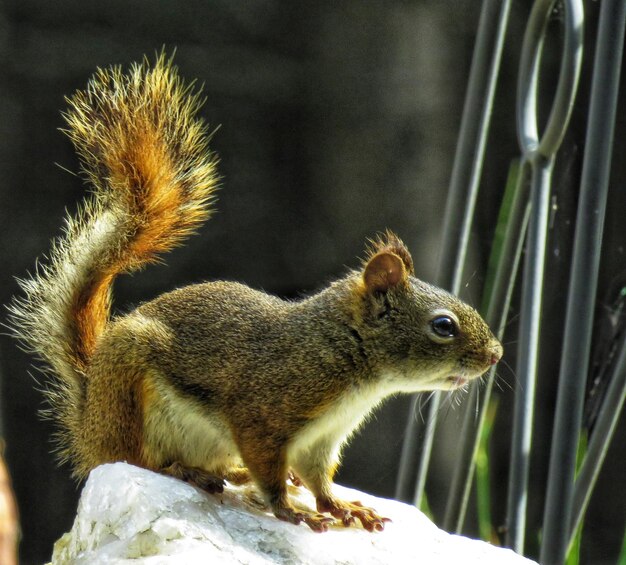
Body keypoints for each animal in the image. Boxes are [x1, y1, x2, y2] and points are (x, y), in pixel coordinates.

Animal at [7, 54, 500, 532]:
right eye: (443, 325)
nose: (495, 355)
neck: (341, 356)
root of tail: (89, 422)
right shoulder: (263, 413)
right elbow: (269, 468)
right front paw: (293, 511)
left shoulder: (322, 439)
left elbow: (319, 478)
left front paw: (341, 507)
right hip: (129, 397)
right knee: (137, 460)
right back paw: (187, 471)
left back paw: (231, 473)